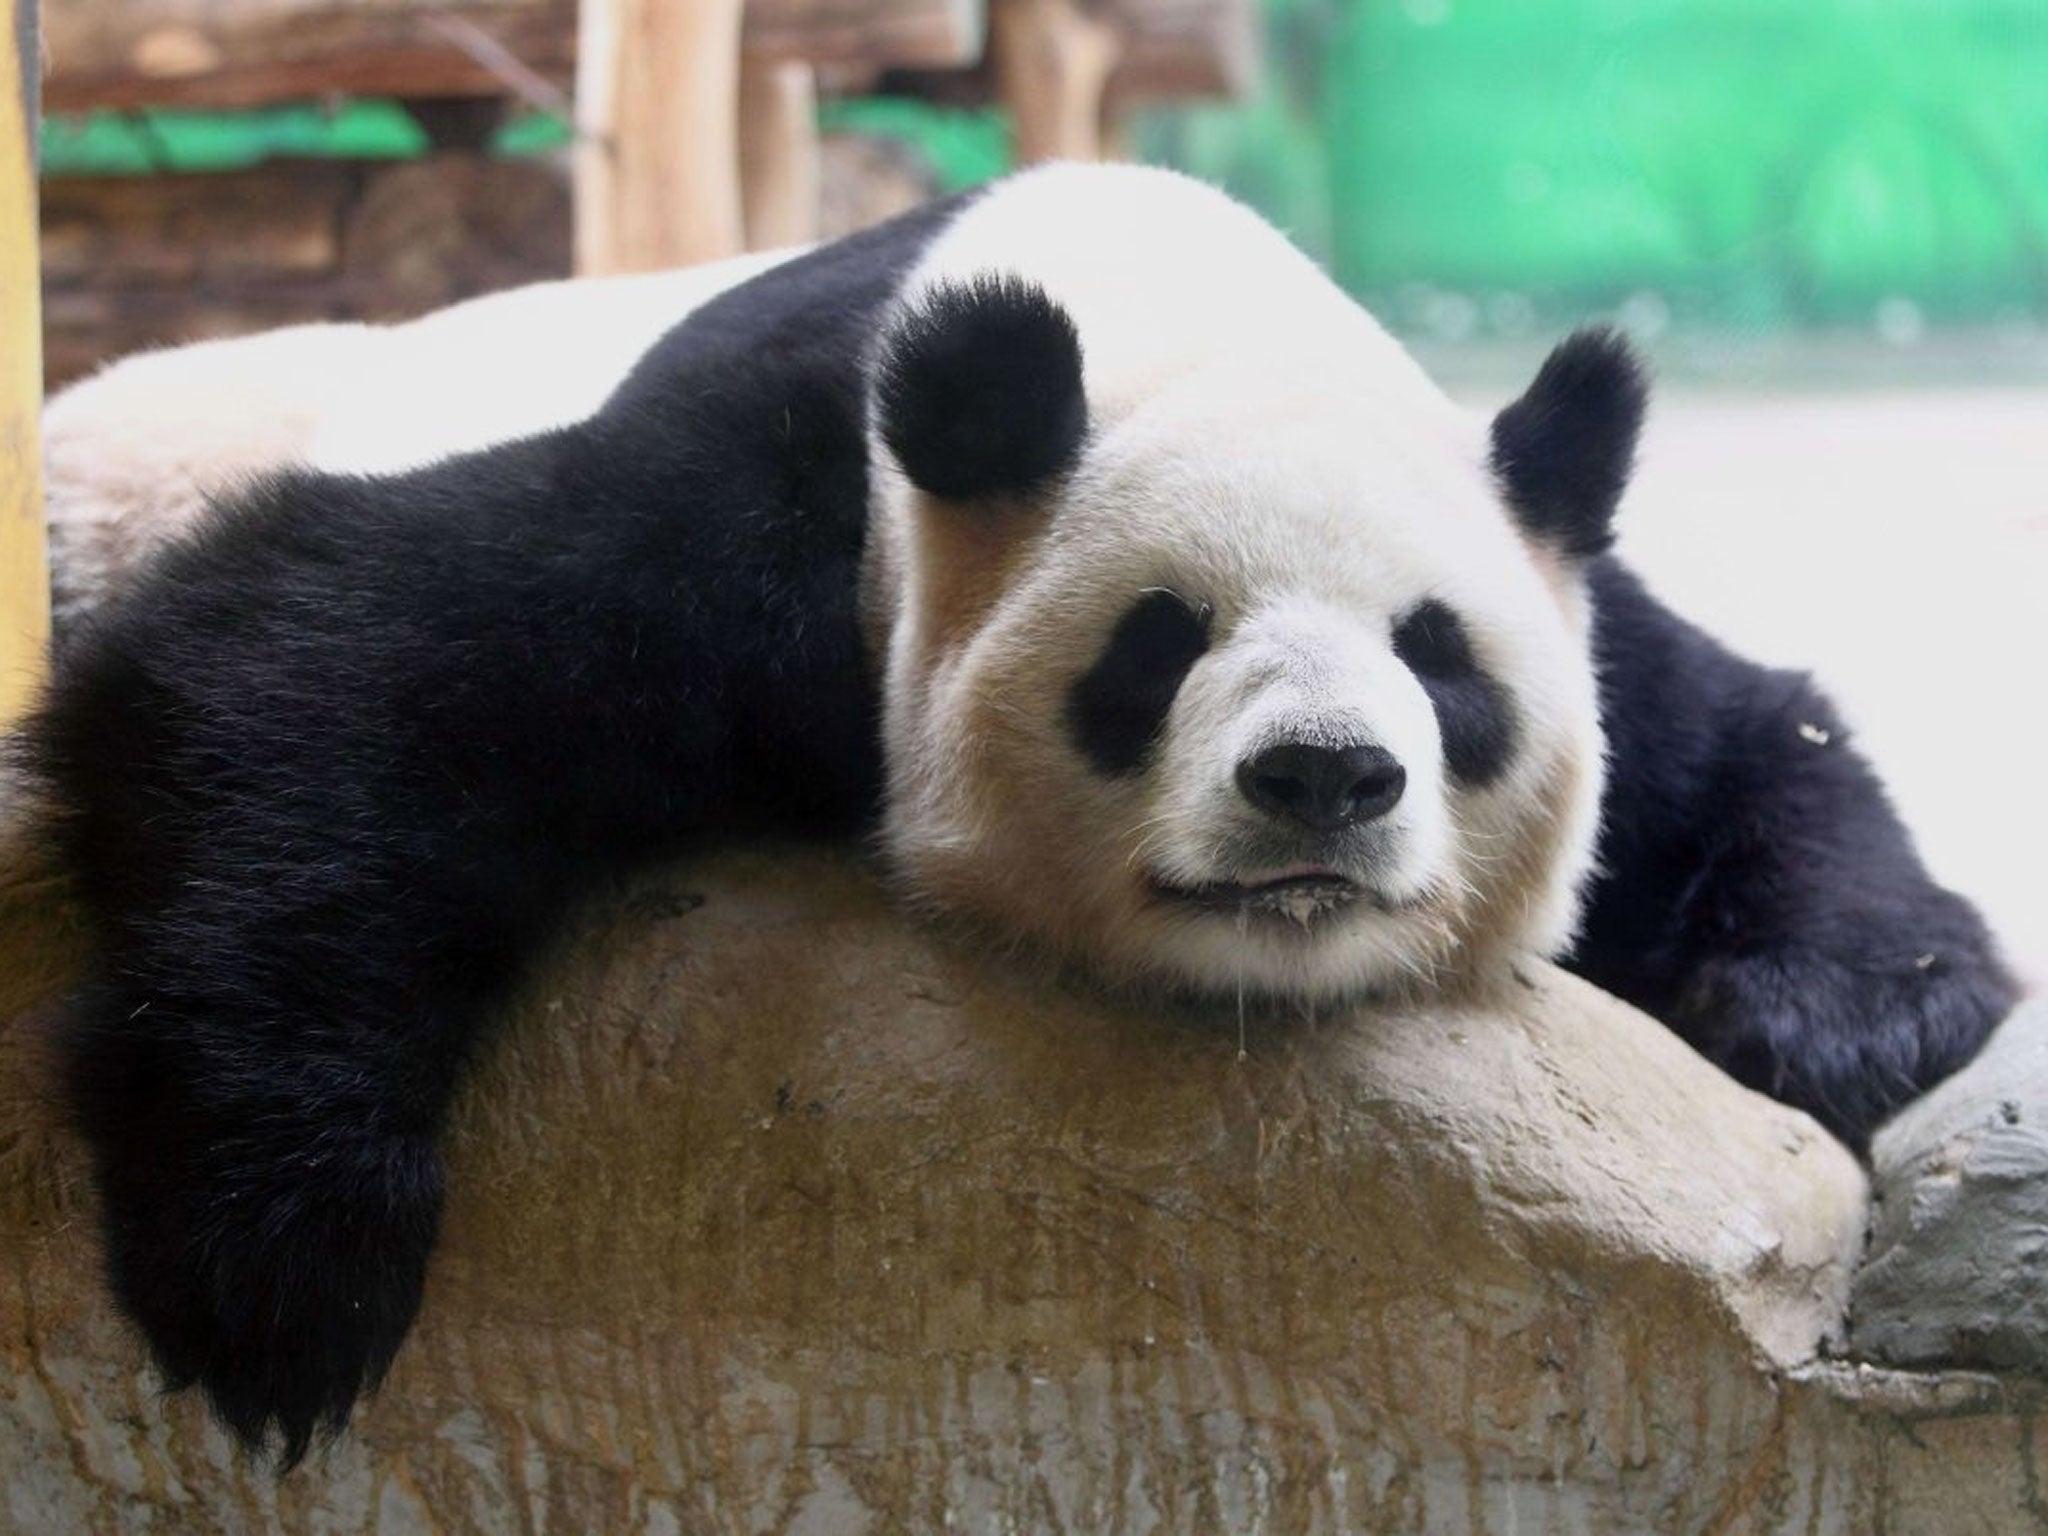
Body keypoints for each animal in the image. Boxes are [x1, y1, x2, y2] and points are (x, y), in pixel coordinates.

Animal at [19, 162, 2015, 1458]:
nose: (1324, 776)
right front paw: (280, 1262)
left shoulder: (1566, 589)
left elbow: (1749, 738)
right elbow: (344, 643)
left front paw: (1836, 1020)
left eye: (1439, 662)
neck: (1153, 309)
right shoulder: (804, 503)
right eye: (1157, 644)